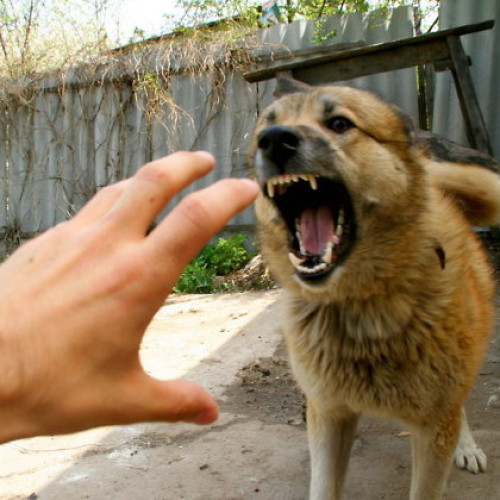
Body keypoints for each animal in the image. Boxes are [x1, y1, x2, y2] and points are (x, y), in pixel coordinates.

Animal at [249, 80, 500, 498]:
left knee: (459, 406)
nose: (273, 141)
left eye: (339, 123)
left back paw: (466, 446)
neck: (362, 307)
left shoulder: (433, 429)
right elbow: (323, 486)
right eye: (263, 131)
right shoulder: (329, 415)